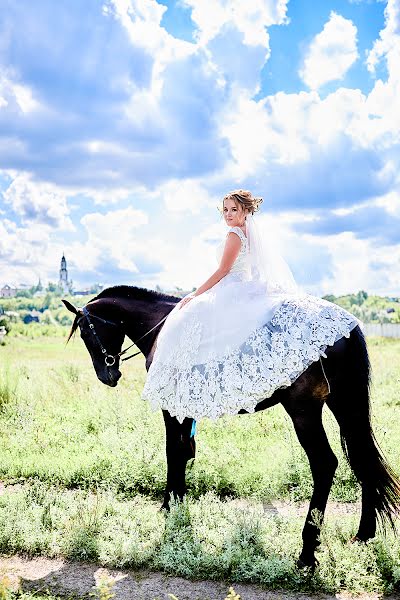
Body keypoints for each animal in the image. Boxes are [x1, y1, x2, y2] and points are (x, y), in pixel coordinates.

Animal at [62, 286, 400, 568]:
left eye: (87, 333)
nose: (107, 375)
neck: (165, 326)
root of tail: (342, 327)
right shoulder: (185, 409)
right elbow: (183, 451)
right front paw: (178, 502)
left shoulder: (171, 407)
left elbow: (172, 451)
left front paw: (169, 505)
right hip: (345, 405)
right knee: (362, 457)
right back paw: (363, 534)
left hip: (304, 412)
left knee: (325, 464)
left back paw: (307, 551)